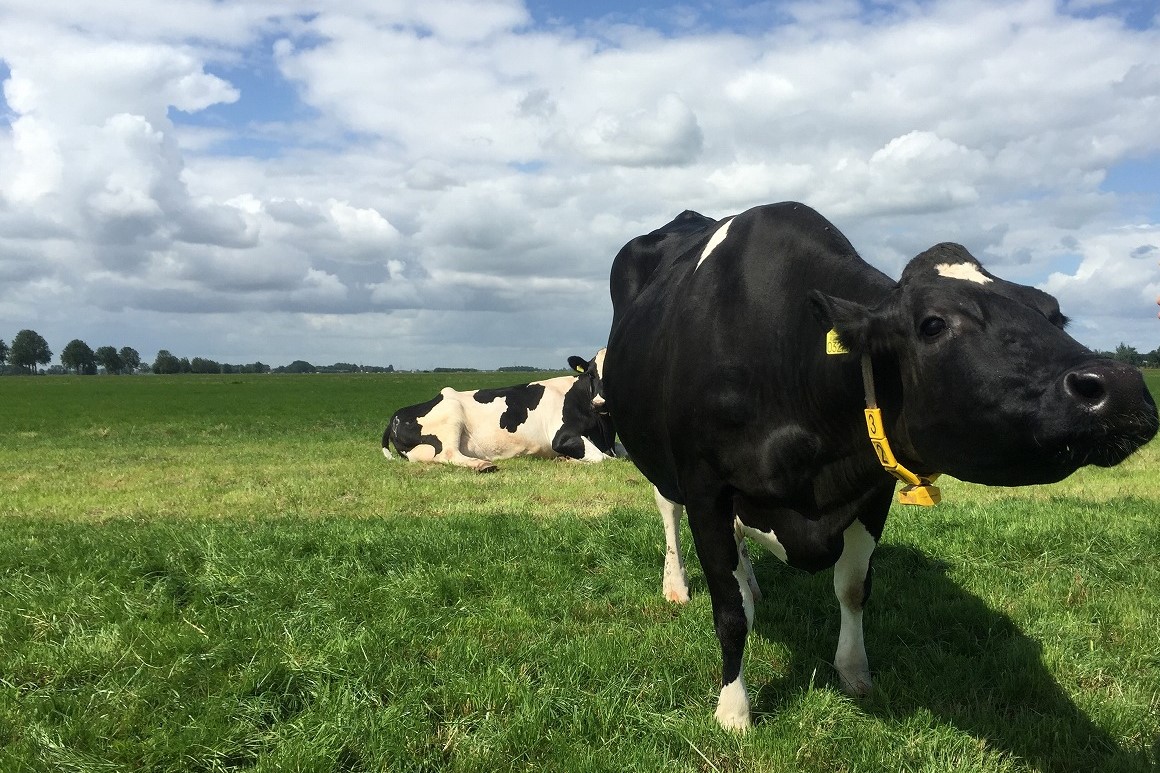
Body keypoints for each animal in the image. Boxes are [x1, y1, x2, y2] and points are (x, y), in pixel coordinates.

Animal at [380, 348, 617, 468]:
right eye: (590, 373)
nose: (599, 402)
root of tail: (398, 415)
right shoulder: (561, 437)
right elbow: (604, 458)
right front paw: (568, 459)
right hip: (451, 413)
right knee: (448, 453)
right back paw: (482, 464)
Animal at [603, 199, 1155, 728]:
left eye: (1055, 314)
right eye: (932, 324)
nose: (1123, 385)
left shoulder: (871, 488)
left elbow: (852, 588)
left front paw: (854, 672)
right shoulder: (706, 486)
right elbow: (729, 612)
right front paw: (734, 711)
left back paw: (753, 584)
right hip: (656, 457)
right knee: (668, 512)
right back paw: (677, 586)